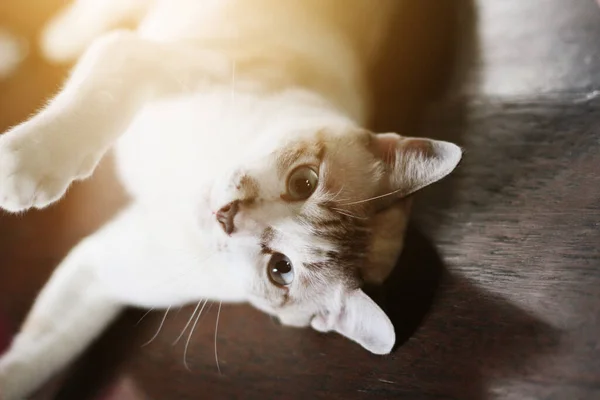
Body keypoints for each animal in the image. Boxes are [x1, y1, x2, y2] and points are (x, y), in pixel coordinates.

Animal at [0, 0, 462, 396]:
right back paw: (51, 38)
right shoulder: (140, 58)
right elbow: (102, 87)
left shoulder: (103, 269)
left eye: (280, 270)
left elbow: (35, 356)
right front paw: (27, 164)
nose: (228, 216)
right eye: (304, 183)